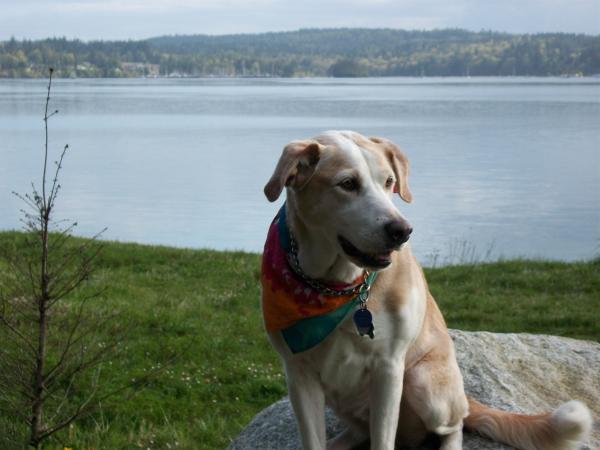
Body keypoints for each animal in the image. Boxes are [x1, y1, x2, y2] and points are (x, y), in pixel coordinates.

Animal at [260, 131, 592, 450]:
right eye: (348, 184)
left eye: (389, 182)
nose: (401, 230)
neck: (336, 286)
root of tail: (464, 395)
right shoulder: (299, 375)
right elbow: (312, 440)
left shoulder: (389, 367)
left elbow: (383, 441)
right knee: (360, 431)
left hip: (425, 386)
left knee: (456, 425)